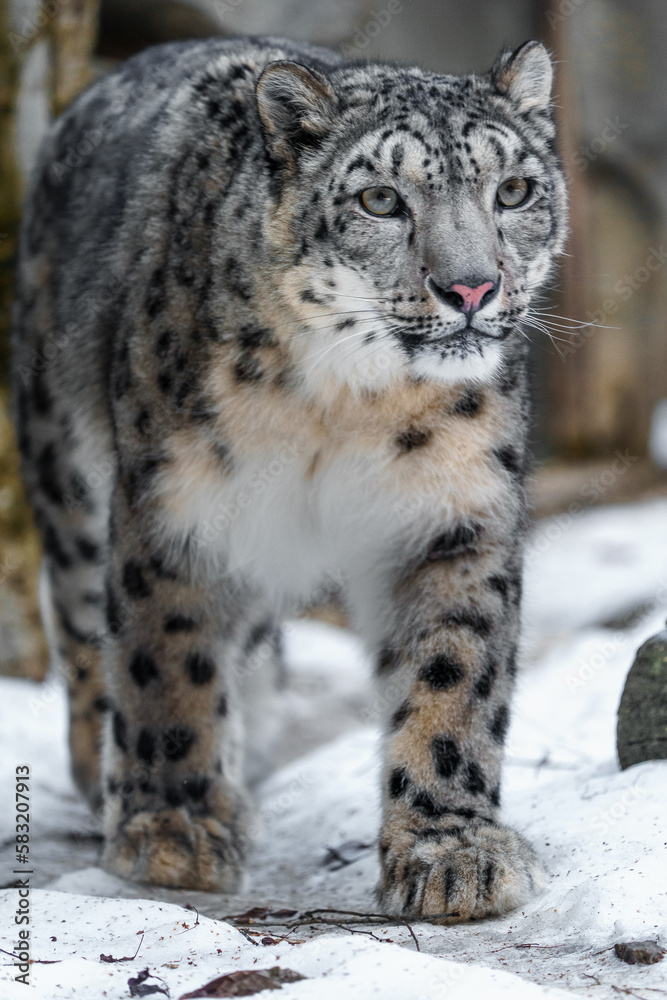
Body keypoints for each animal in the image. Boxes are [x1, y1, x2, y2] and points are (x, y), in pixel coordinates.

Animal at [11, 35, 564, 916]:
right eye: (379, 200)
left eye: (513, 190)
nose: (472, 287)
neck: (348, 401)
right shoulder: (179, 507)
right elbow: (167, 659)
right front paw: (174, 832)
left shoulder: (454, 514)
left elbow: (451, 673)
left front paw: (452, 851)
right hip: (65, 479)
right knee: (88, 632)